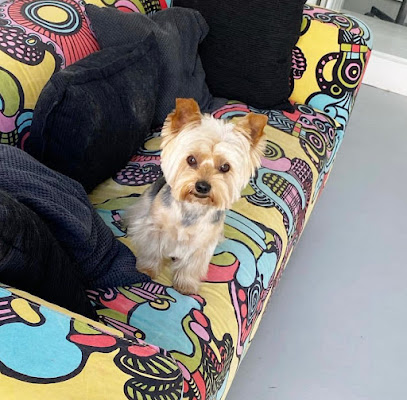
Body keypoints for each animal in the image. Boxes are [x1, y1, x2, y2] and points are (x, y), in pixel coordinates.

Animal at [126, 98, 267, 294]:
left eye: (225, 167)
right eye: (191, 159)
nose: (202, 186)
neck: (192, 207)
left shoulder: (203, 244)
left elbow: (191, 266)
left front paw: (185, 285)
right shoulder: (154, 228)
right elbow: (151, 250)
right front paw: (147, 269)